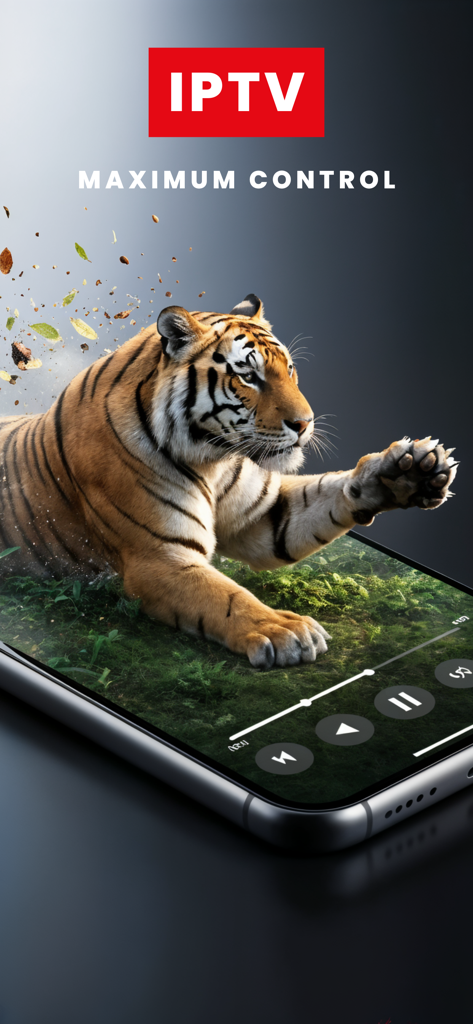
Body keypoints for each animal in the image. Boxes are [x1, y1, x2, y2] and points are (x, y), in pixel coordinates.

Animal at [0, 293, 458, 668]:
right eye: (249, 376)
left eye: (290, 370)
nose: (305, 424)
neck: (212, 459)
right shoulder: (158, 557)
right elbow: (227, 596)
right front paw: (285, 629)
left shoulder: (265, 518)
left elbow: (327, 492)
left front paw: (409, 471)